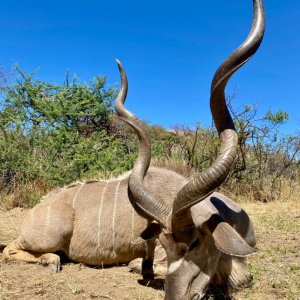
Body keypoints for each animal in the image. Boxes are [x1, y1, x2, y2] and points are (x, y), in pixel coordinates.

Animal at [2, 1, 264, 298]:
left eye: (196, 243)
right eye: (167, 243)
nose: (176, 295)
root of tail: (38, 207)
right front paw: (140, 266)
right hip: (47, 236)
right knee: (12, 248)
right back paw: (50, 260)